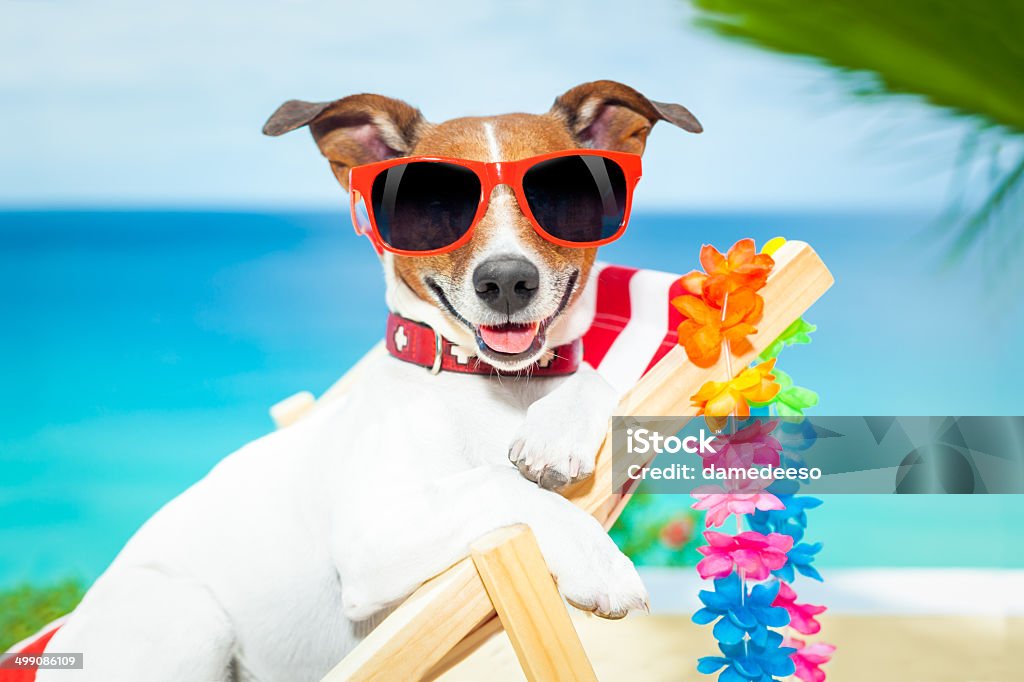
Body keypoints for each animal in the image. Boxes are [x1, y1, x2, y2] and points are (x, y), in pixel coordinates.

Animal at [37, 80, 696, 679]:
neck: (494, 387)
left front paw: (554, 432)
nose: (507, 281)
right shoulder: (374, 538)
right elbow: (497, 483)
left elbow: (588, 379)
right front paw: (597, 560)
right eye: (434, 208)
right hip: (188, 619)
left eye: (560, 197)